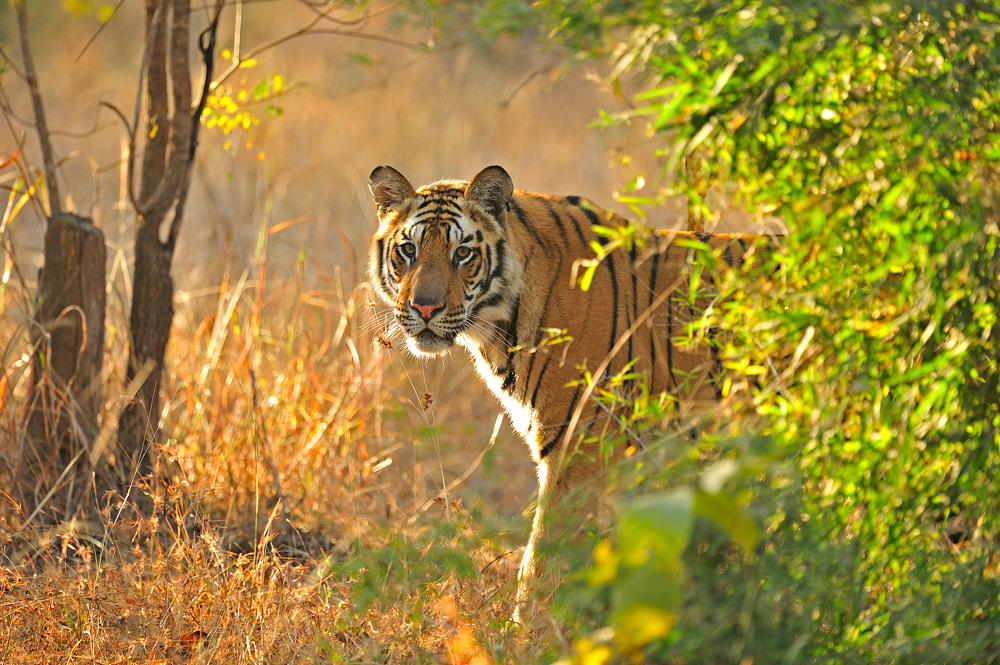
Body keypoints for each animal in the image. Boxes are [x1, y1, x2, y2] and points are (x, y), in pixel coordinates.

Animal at [368, 163, 772, 620]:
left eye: (463, 254)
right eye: (408, 250)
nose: (424, 308)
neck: (498, 329)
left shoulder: (578, 448)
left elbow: (544, 556)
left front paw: (533, 628)